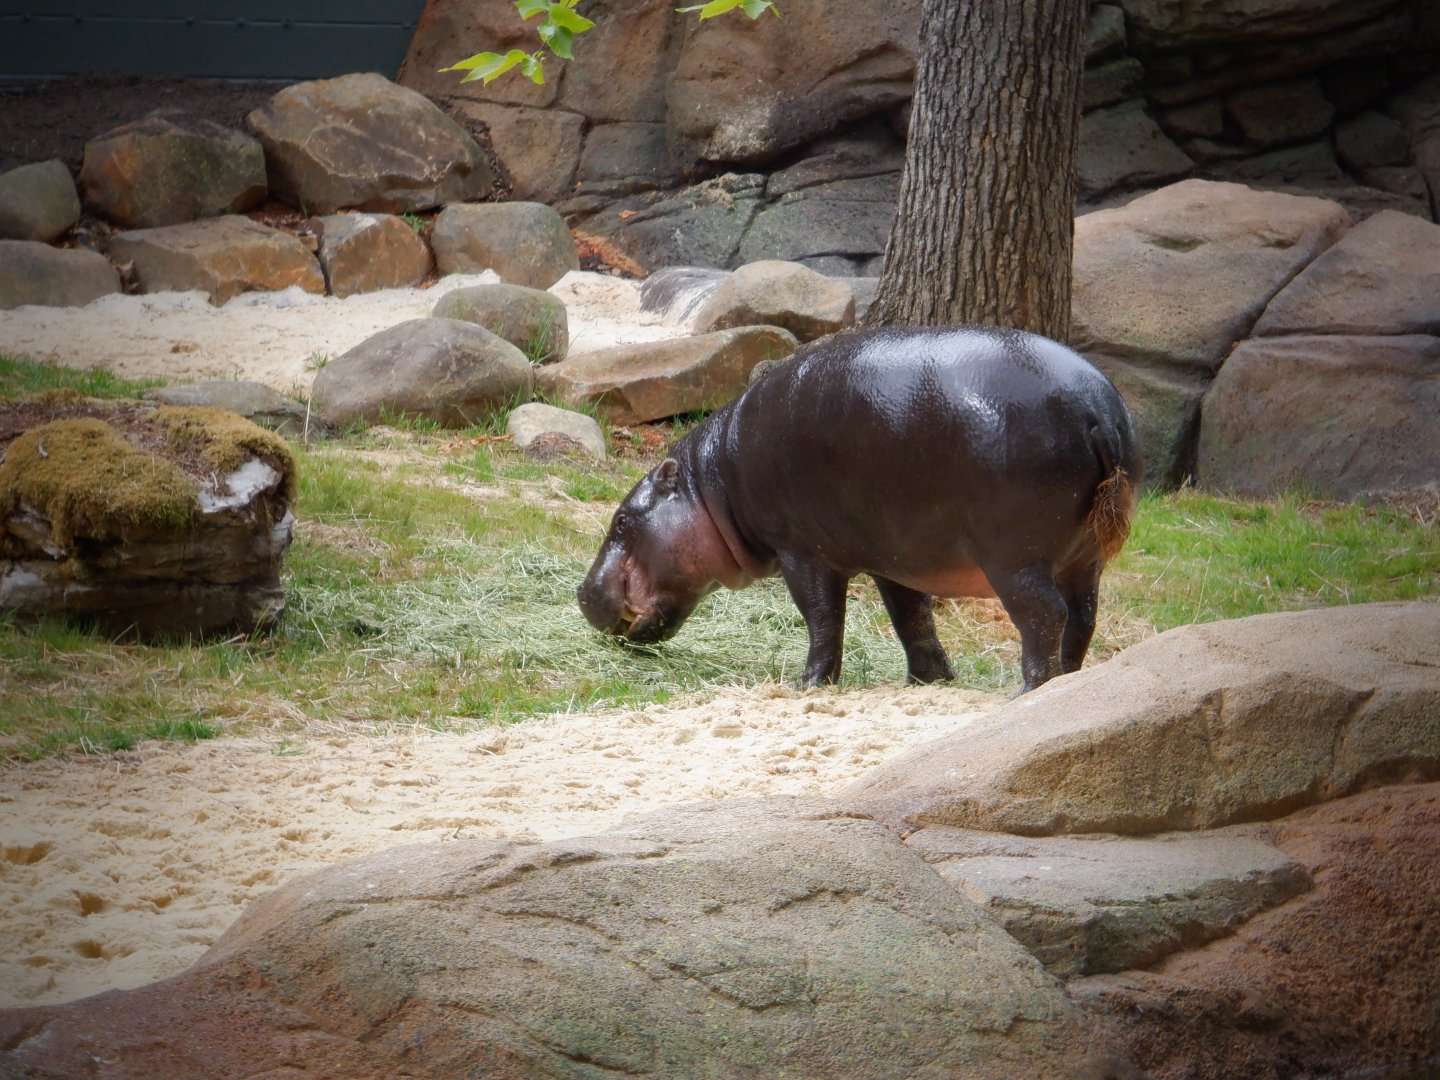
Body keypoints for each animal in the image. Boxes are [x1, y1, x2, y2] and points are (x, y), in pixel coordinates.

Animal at [577, 326, 1142, 692]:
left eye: (622, 520)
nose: (581, 593)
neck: (711, 485)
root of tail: (1096, 407)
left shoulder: (802, 552)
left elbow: (823, 619)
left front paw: (808, 685)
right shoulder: (896, 559)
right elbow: (912, 619)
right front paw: (928, 682)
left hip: (1013, 557)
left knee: (1044, 614)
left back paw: (1029, 692)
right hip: (1083, 559)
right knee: (1083, 617)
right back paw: (1068, 684)